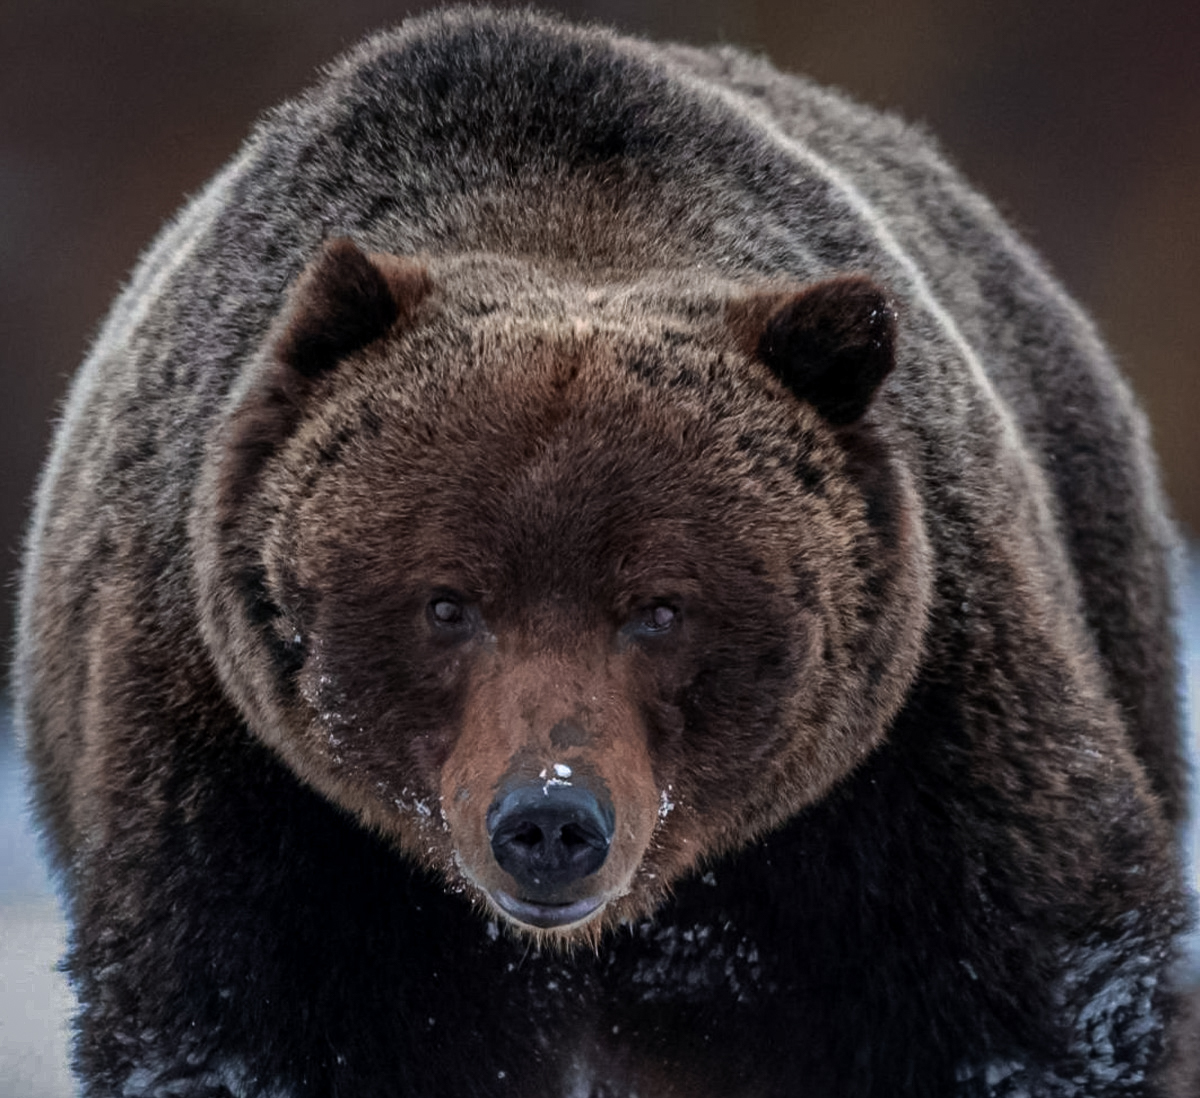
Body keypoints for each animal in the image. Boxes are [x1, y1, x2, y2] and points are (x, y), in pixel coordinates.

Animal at [14, 8, 1195, 1098]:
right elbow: (260, 1029)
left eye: (660, 608)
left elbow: (1023, 1004)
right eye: (447, 602)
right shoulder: (258, 801)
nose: (549, 820)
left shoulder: (909, 771)